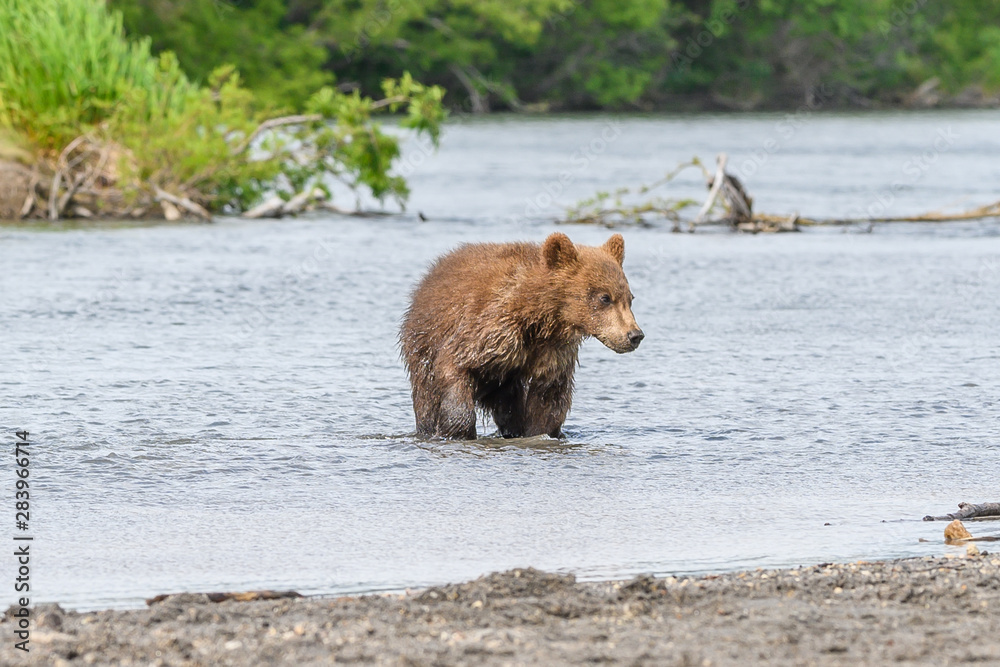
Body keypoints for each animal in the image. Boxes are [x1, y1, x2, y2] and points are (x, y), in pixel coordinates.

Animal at [400, 232, 643, 439]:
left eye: (630, 298)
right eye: (605, 297)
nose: (635, 335)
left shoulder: (554, 351)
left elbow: (548, 399)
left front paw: (541, 432)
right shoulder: (490, 329)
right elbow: (455, 366)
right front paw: (457, 430)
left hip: (504, 383)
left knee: (509, 406)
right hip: (423, 343)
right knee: (427, 398)